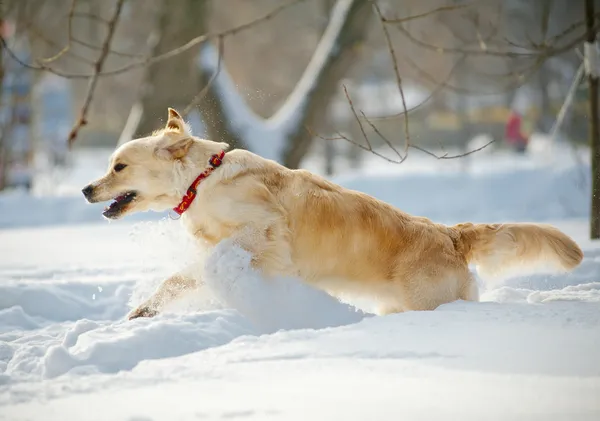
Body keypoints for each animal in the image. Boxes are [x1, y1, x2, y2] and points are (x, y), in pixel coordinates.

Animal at [82, 108, 584, 318]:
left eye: (118, 166)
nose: (86, 188)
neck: (201, 180)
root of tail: (448, 234)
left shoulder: (265, 231)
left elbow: (222, 255)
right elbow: (178, 278)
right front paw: (143, 311)